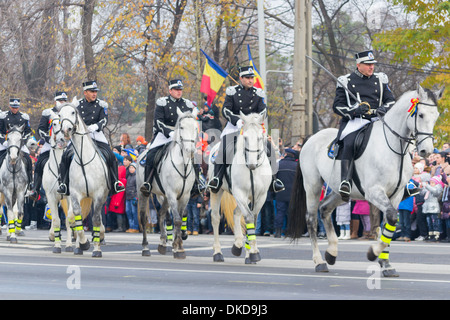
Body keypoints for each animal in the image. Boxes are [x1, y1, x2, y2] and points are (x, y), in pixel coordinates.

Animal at [56, 101, 109, 256]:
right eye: (59, 115)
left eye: (73, 112)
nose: (66, 130)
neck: (83, 159)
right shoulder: (75, 193)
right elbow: (76, 217)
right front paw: (83, 244)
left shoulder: (99, 194)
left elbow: (95, 220)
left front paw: (96, 249)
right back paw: (79, 246)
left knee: (98, 218)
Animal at [136, 109, 200, 258]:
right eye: (181, 127)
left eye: (195, 128)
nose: (190, 150)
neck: (183, 165)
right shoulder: (172, 194)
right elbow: (176, 219)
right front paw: (179, 248)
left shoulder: (185, 196)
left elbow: (181, 217)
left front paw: (177, 245)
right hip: (144, 193)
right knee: (143, 217)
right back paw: (145, 247)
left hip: (163, 196)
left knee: (161, 214)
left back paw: (162, 243)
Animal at [207, 111, 270, 264]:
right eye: (245, 137)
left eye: (260, 138)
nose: (252, 164)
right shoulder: (240, 193)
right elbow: (248, 217)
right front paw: (253, 252)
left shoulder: (260, 196)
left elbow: (253, 218)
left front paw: (250, 250)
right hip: (217, 191)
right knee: (216, 218)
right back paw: (218, 253)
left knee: (236, 213)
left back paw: (239, 245)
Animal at [288, 85, 442, 276]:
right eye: (420, 114)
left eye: (436, 115)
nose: (426, 151)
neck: (393, 147)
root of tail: (311, 137)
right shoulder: (374, 192)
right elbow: (390, 219)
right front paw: (373, 253)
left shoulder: (396, 195)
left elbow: (388, 225)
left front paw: (386, 264)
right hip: (313, 186)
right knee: (311, 219)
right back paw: (319, 261)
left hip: (341, 192)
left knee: (324, 209)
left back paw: (332, 252)